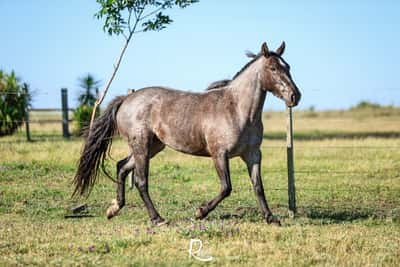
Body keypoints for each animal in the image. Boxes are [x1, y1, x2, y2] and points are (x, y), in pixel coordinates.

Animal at [73, 41, 302, 226]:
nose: (295, 96)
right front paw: (200, 212)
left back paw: (114, 209)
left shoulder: (253, 154)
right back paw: (157, 219)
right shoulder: (220, 154)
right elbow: (226, 187)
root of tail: (126, 100)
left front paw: (271, 219)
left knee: (122, 167)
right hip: (142, 146)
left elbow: (258, 186)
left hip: (153, 147)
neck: (237, 109)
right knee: (140, 180)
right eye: (273, 68)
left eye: (288, 67)